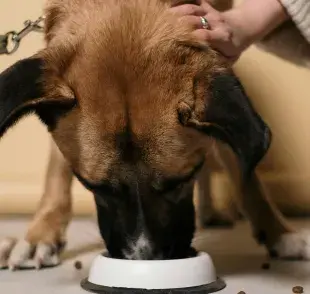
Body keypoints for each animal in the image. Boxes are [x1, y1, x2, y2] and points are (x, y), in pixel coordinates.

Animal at [0, 0, 308, 272]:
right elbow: (57, 170)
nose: (146, 259)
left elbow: (244, 171)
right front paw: (40, 235)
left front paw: (278, 232)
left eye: (180, 181)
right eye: (96, 187)